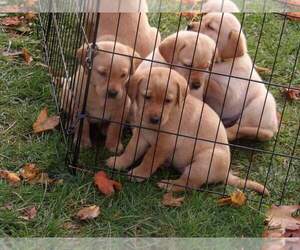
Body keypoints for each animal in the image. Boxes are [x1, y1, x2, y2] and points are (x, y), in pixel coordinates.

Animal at [55, 4, 282, 195]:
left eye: (207, 66)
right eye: (188, 64)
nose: (197, 85)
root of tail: (227, 173)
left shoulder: (163, 144)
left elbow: (149, 159)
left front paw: (138, 174)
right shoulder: (140, 134)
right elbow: (130, 150)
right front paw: (119, 162)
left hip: (211, 154)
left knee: (191, 183)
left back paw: (169, 185)